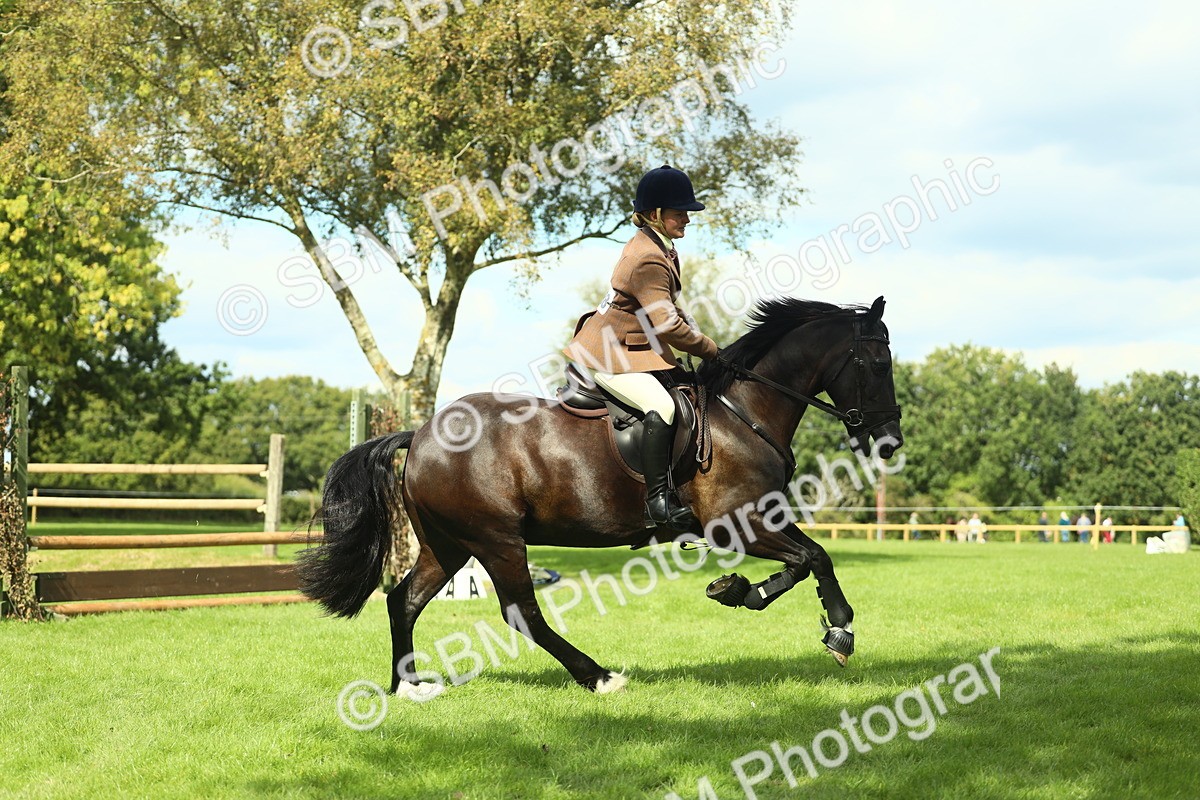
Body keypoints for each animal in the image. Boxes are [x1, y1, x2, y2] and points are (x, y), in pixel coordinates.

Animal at [297, 296, 904, 696]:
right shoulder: (738, 521)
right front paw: (833, 627)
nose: (890, 440)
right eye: (878, 365)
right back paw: (599, 677)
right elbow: (812, 558)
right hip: (495, 541)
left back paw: (410, 687)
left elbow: (811, 557)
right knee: (522, 613)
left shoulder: (762, 517)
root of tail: (421, 434)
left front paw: (745, 592)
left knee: (404, 600)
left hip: (448, 544)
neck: (744, 412)